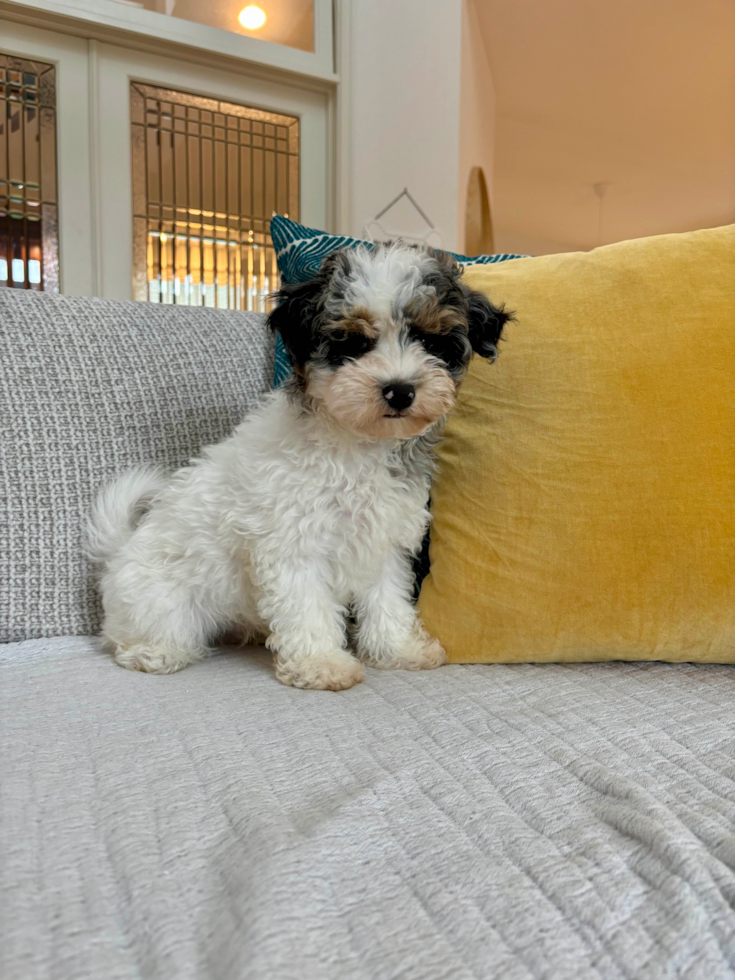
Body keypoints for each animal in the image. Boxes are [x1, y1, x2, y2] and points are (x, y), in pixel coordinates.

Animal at [89, 243, 508, 688]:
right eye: (353, 343)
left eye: (431, 342)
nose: (400, 390)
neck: (358, 445)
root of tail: (119, 553)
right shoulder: (294, 544)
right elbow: (308, 608)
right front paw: (322, 663)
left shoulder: (384, 541)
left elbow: (388, 600)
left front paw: (398, 650)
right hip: (164, 601)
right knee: (139, 633)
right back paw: (155, 651)